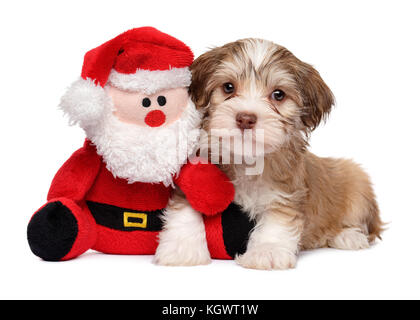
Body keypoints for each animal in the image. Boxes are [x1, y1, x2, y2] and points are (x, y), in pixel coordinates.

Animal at [186, 39, 384, 270]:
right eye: (228, 87)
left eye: (278, 94)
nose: (245, 118)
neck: (247, 160)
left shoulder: (286, 192)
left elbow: (278, 218)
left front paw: (267, 251)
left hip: (356, 180)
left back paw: (348, 236)